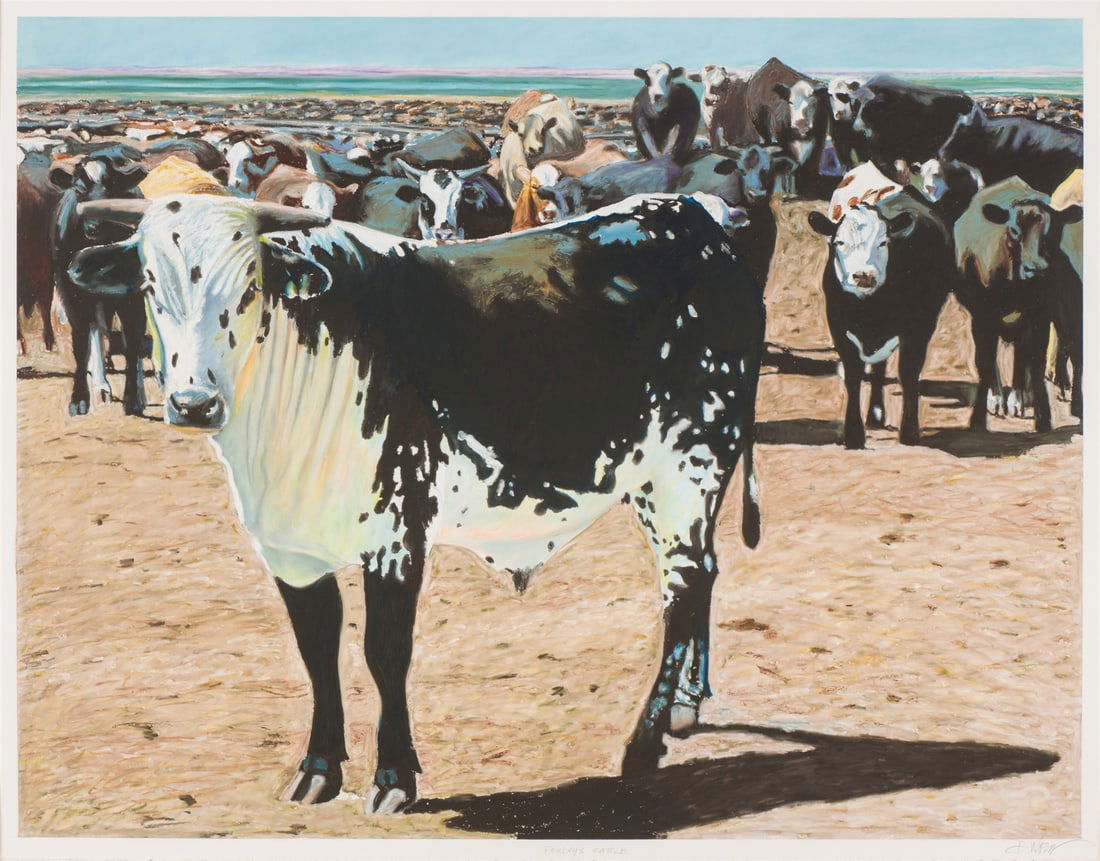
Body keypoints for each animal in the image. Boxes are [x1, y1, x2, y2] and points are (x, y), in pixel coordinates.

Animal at [67, 190, 764, 815]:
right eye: (150, 287)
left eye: (247, 289)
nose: (193, 404)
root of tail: (698, 212)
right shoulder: (289, 548)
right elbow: (316, 651)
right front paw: (318, 769)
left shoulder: (396, 531)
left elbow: (384, 651)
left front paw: (394, 777)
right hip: (659, 483)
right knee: (704, 574)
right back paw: (685, 707)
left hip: (693, 463)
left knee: (682, 586)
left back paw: (643, 745)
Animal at [809, 183, 954, 448]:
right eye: (839, 242)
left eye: (883, 243)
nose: (863, 275)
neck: (870, 307)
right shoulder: (838, 324)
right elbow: (853, 374)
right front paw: (854, 434)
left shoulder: (919, 326)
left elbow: (908, 372)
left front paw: (909, 431)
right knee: (877, 369)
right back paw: (875, 415)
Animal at [953, 176, 1082, 432]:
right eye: (1014, 230)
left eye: (1053, 232)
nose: (1036, 268)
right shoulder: (982, 317)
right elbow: (985, 363)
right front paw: (979, 417)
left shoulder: (1039, 316)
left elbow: (1035, 362)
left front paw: (1041, 416)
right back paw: (999, 398)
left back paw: (1021, 398)